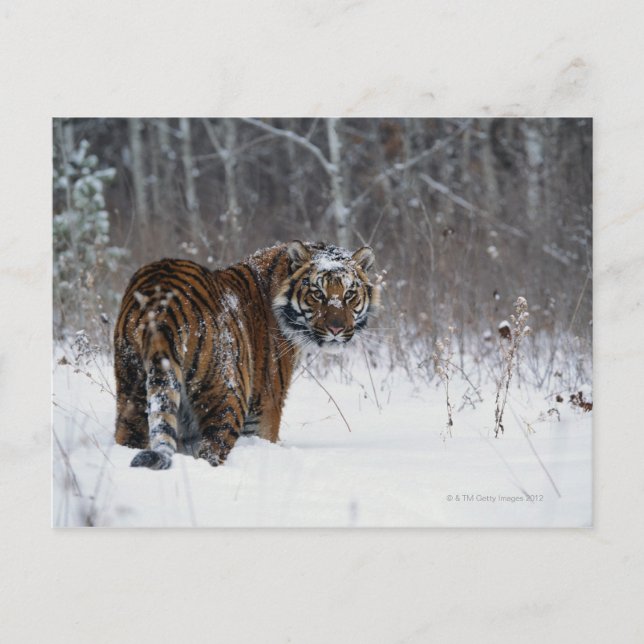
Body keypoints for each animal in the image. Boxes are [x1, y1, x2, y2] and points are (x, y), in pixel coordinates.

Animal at [113, 240, 378, 469]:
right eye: (318, 294)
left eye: (349, 294)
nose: (336, 329)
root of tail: (162, 302)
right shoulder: (266, 403)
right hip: (227, 396)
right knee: (211, 451)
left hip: (132, 389)